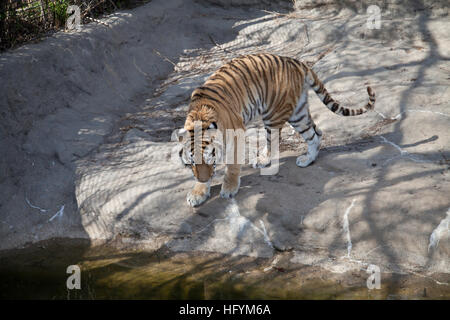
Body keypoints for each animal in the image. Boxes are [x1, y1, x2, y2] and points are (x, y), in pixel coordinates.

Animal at [177, 53, 376, 208]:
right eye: (191, 163)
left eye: (210, 158)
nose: (204, 179)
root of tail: (296, 61)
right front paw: (198, 192)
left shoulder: (237, 134)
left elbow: (232, 166)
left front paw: (229, 189)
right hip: (298, 113)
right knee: (316, 133)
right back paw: (307, 160)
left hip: (274, 113)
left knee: (276, 140)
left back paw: (264, 160)